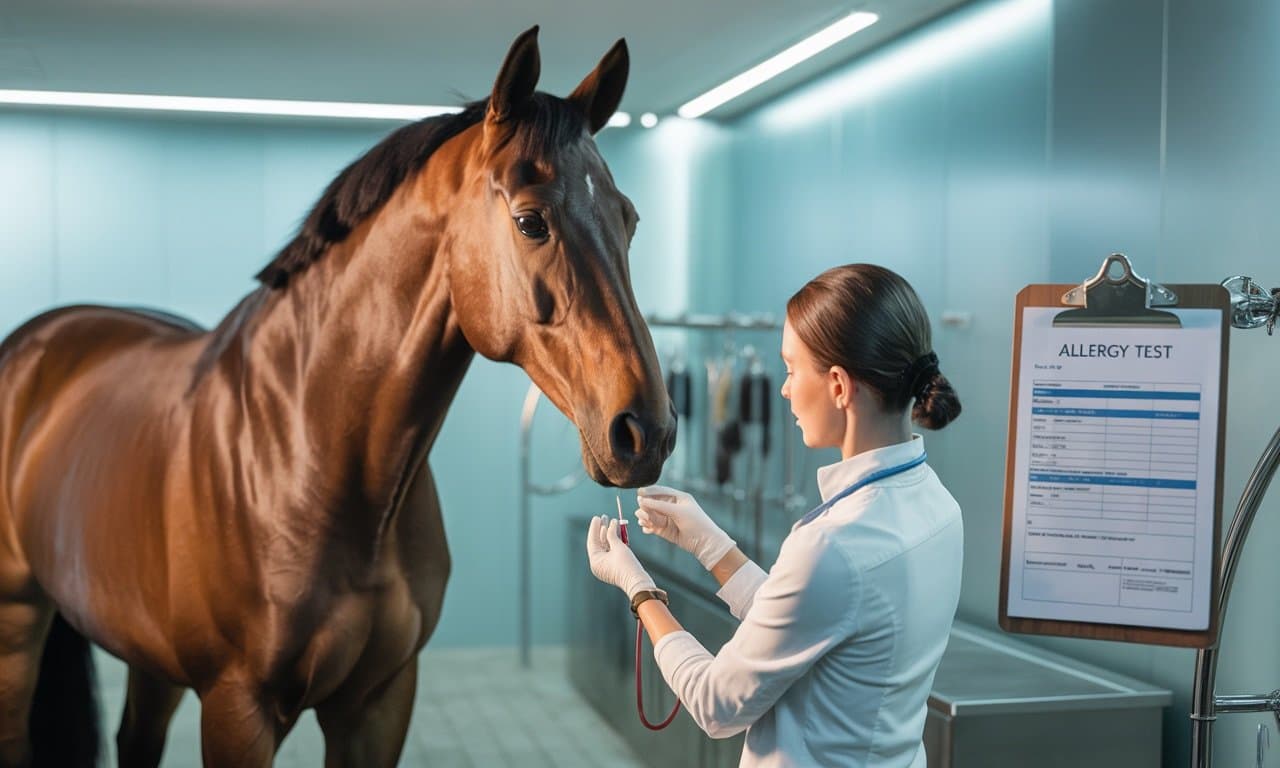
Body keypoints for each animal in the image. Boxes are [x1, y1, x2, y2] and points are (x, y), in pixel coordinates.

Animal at [0, 26, 674, 767]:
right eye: (531, 221)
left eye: (630, 219)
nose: (647, 431)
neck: (307, 450)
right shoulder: (237, 709)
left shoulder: (378, 703)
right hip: (17, 623)